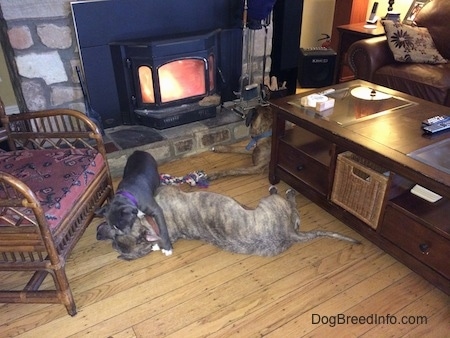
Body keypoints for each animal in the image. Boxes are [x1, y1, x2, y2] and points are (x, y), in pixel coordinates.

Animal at [96, 186, 360, 260]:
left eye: (116, 235)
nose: (99, 234)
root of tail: (289, 235)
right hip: (272, 204)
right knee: (292, 208)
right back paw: (285, 192)